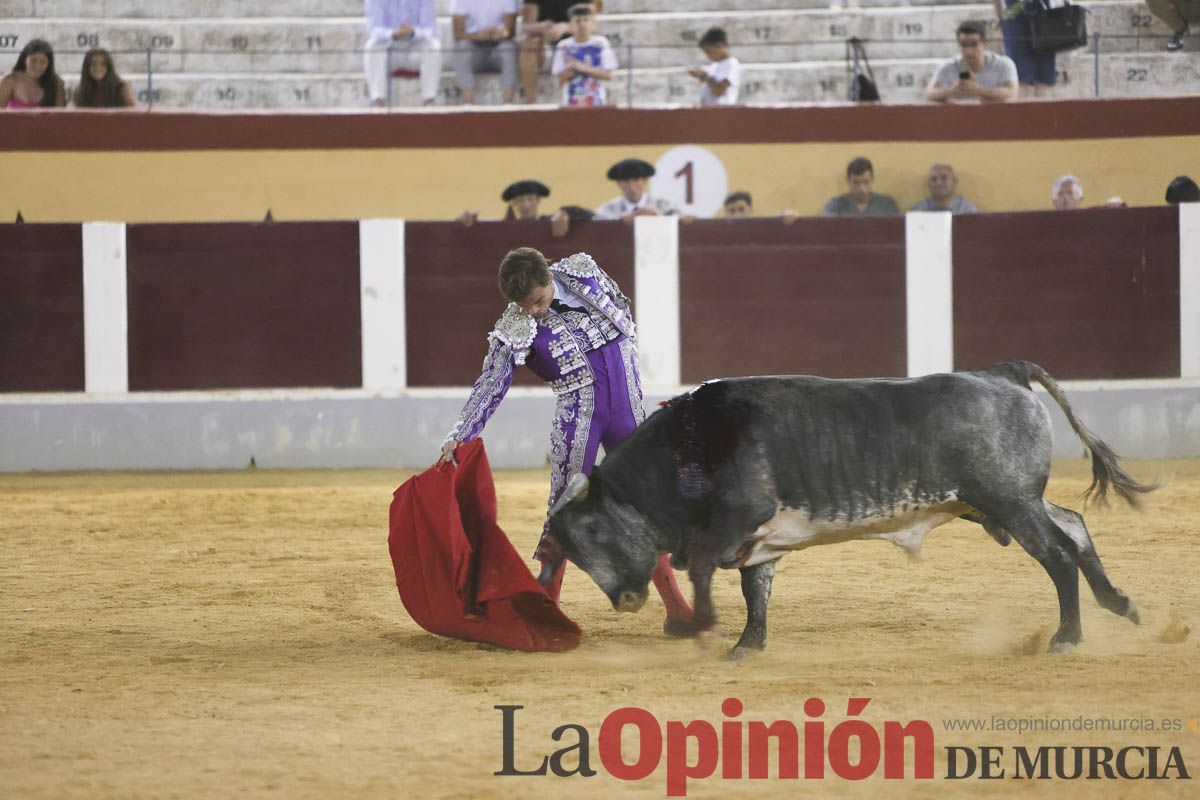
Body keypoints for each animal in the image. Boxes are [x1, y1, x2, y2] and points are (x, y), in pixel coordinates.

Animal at [542, 362, 1152, 657]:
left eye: (593, 530)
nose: (624, 601)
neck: (686, 450)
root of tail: (1002, 372)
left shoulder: (736, 520)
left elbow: (702, 570)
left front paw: (704, 627)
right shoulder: (758, 540)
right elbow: (756, 591)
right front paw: (746, 647)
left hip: (1008, 500)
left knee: (1056, 553)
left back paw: (1067, 638)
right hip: (1004, 502)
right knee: (1074, 526)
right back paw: (1119, 604)